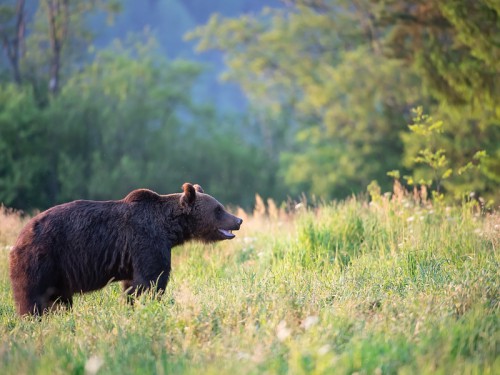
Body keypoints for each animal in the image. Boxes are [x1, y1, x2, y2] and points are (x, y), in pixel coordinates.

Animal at [7, 184, 242, 316]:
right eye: (218, 209)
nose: (238, 220)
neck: (169, 228)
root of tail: (20, 237)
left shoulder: (137, 253)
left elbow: (133, 284)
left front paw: (132, 305)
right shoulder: (146, 239)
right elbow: (151, 279)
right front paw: (150, 304)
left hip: (57, 274)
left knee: (59, 300)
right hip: (43, 259)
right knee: (33, 297)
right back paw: (32, 318)